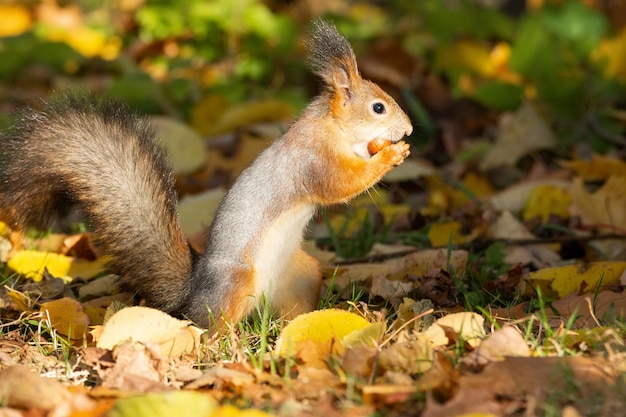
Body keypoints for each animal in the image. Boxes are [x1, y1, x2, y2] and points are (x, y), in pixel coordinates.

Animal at [0, 20, 410, 324]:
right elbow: (338, 184)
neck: (332, 127)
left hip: (304, 272)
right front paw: (390, 155)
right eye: (378, 108)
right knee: (209, 328)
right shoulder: (313, 160)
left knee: (289, 311)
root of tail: (193, 293)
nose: (407, 129)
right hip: (233, 283)